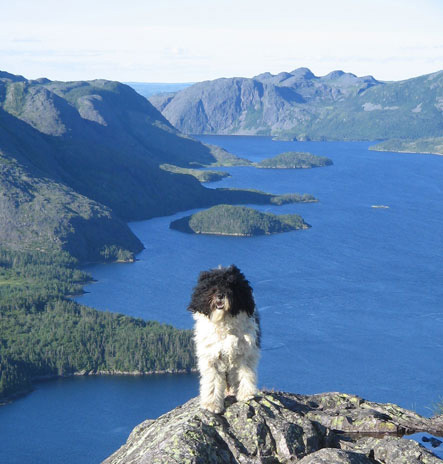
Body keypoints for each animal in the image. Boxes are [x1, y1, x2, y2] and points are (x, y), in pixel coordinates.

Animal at [187, 264, 260, 414]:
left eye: (230, 285)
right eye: (211, 286)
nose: (220, 295)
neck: (224, 321)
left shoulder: (244, 354)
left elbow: (245, 373)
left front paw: (246, 394)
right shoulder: (212, 357)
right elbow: (212, 382)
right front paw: (212, 404)